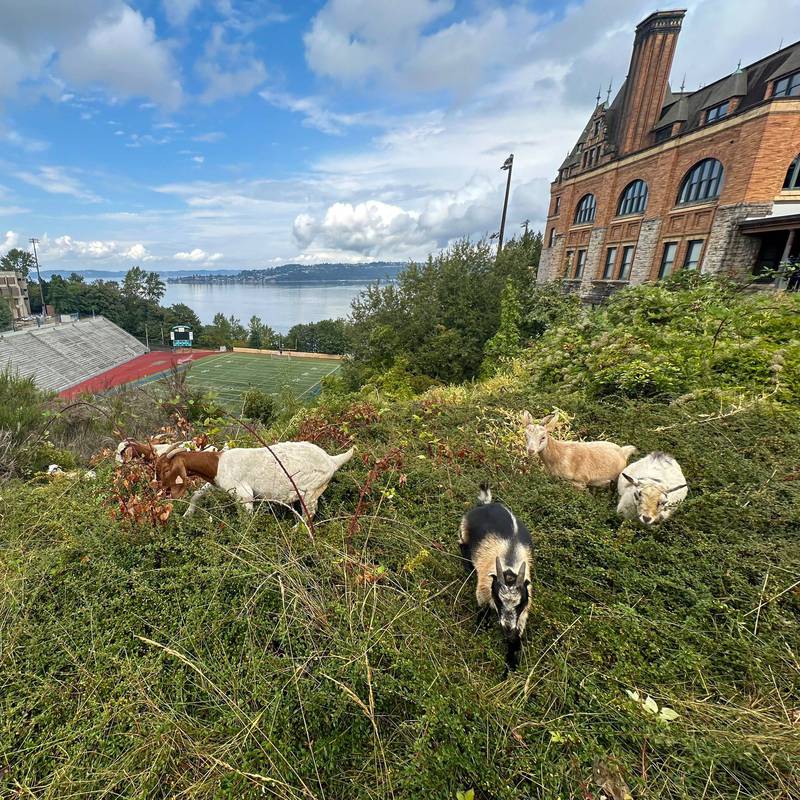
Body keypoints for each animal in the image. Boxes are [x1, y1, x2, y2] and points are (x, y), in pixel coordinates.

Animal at [155, 438, 354, 520]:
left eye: (166, 469)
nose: (161, 489)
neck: (217, 463)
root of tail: (332, 460)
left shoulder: (244, 495)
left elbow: (246, 519)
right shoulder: (217, 483)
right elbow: (197, 494)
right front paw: (187, 515)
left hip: (310, 491)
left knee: (309, 513)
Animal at [460, 484, 536, 672]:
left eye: (519, 604)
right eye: (500, 601)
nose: (507, 629)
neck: (510, 561)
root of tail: (486, 503)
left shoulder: (523, 610)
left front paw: (511, 664)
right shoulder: (483, 590)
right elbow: (484, 608)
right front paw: (481, 627)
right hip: (464, 529)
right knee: (462, 544)